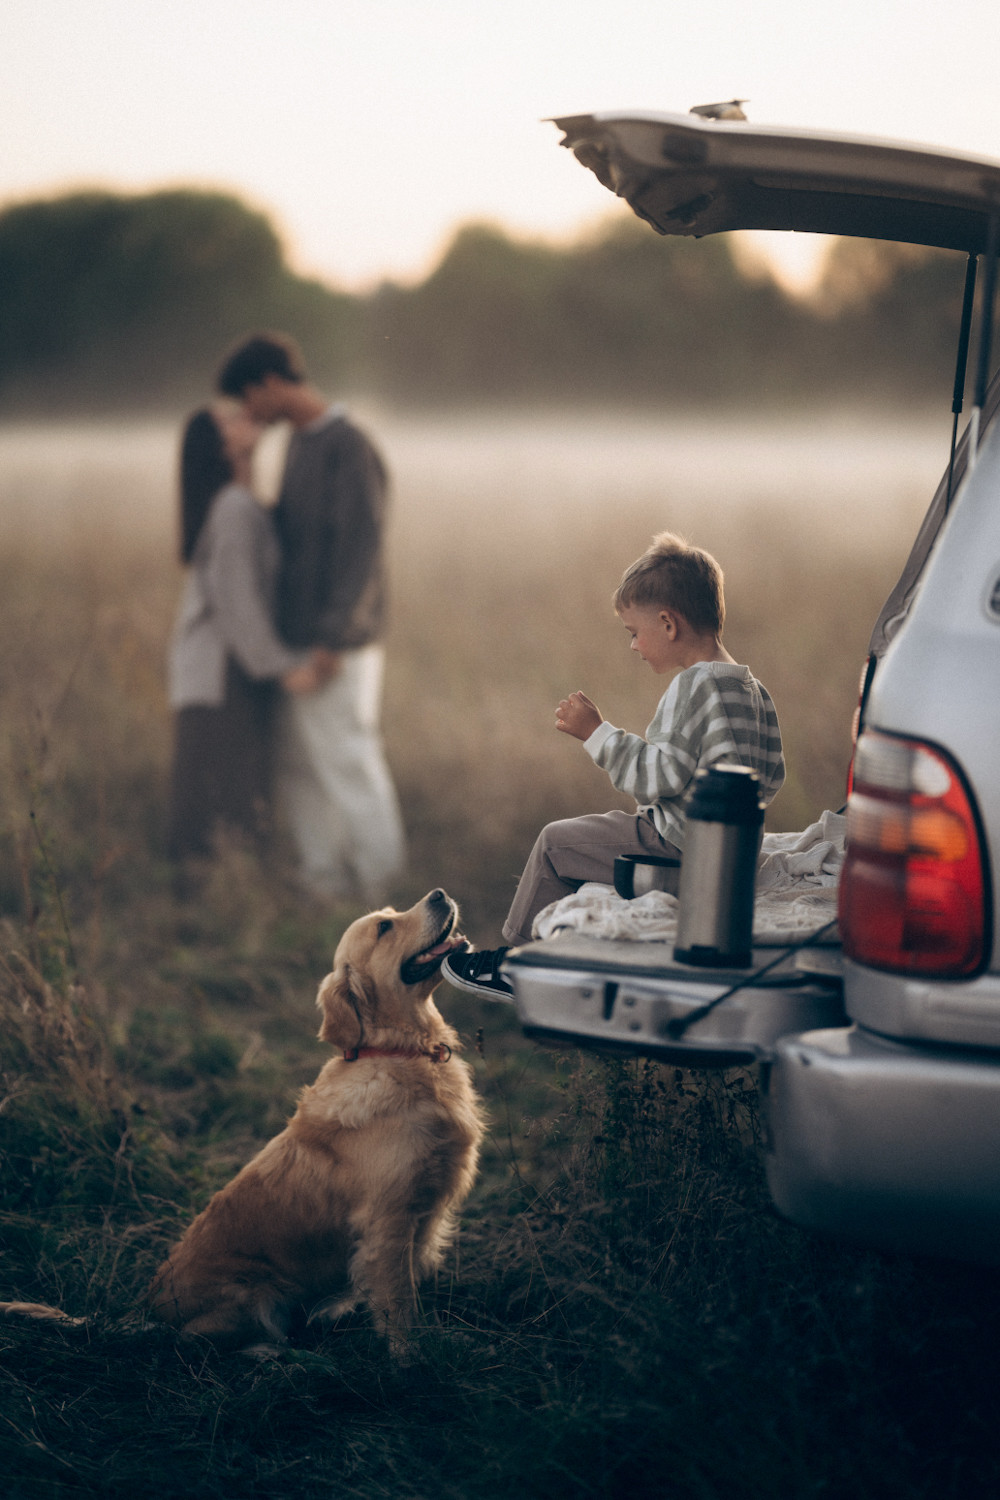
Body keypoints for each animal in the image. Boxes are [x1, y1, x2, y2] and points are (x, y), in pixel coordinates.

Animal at [143, 888, 485, 1362]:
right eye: (384, 927)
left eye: (393, 913)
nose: (439, 893)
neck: (399, 1053)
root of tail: (151, 1313)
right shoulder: (389, 1220)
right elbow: (400, 1302)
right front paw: (410, 1357)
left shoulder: (424, 1215)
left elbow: (415, 1293)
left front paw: (442, 1339)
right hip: (253, 1295)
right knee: (204, 1341)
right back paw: (286, 1356)